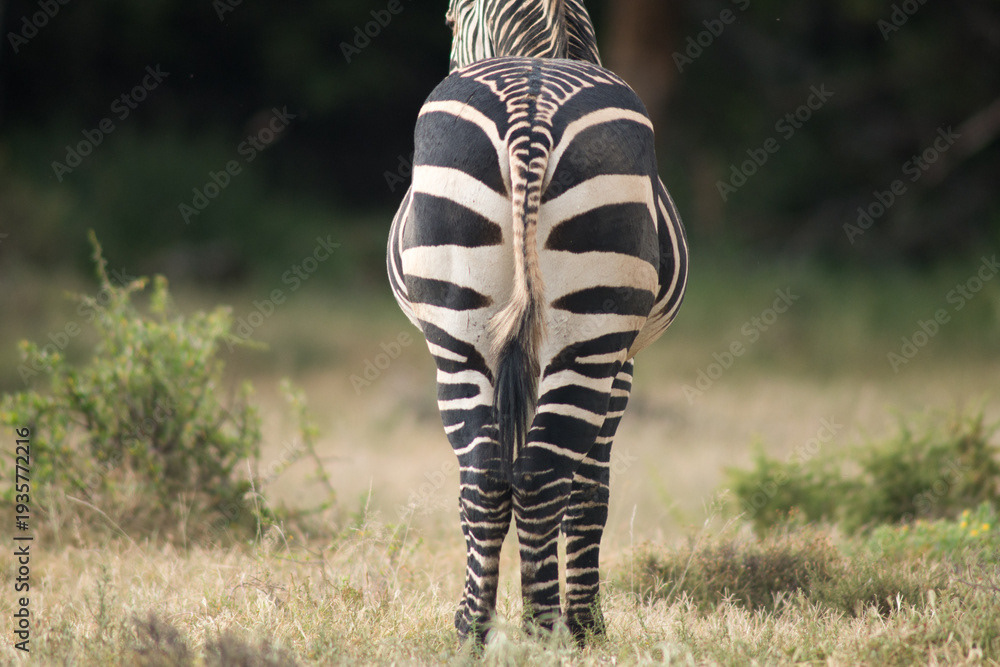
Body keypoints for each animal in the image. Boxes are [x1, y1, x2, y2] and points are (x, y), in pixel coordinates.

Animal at [386, 0, 688, 647]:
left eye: (449, 25)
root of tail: (531, 108)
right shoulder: (622, 364)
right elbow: (590, 493)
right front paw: (590, 625)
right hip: (588, 339)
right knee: (544, 477)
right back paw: (548, 629)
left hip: (459, 337)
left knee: (487, 481)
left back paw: (476, 630)